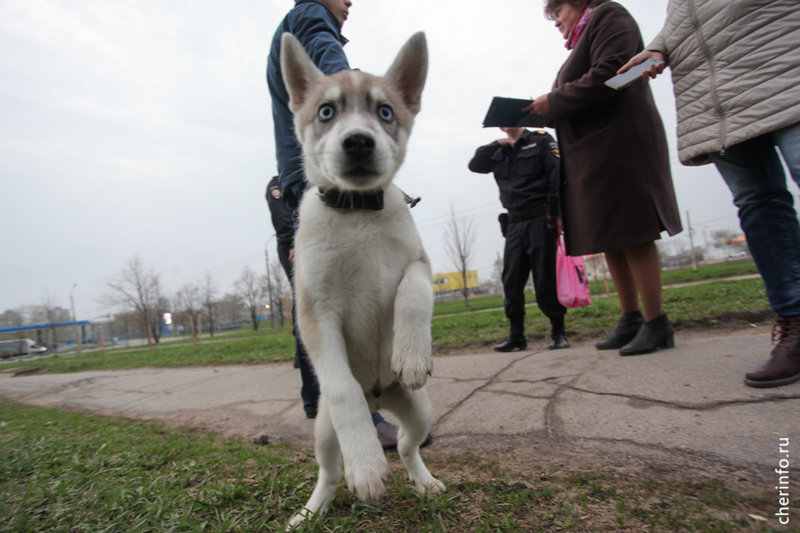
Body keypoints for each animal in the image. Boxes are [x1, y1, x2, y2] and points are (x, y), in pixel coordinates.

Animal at [280, 32, 444, 524]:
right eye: (326, 112)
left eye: (385, 112)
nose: (357, 142)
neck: (357, 213)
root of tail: (379, 398)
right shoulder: (315, 313)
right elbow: (340, 388)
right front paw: (367, 467)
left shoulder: (418, 264)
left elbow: (412, 293)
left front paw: (411, 354)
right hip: (323, 432)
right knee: (330, 471)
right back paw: (312, 511)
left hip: (419, 409)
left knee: (408, 447)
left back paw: (423, 481)